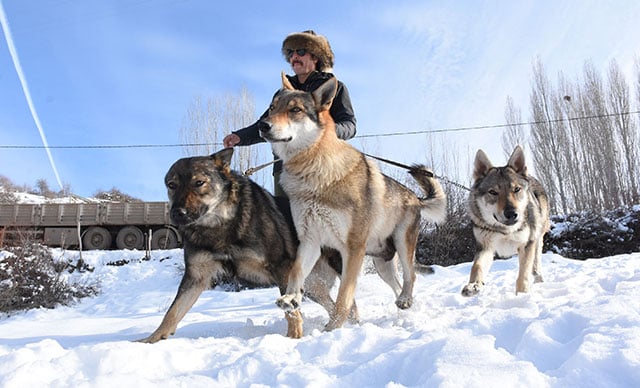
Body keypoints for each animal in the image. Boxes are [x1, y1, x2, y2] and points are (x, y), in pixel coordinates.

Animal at [139, 147, 344, 342]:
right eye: (171, 185)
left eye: (199, 183)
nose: (177, 213)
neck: (221, 224)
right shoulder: (196, 277)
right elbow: (173, 311)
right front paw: (152, 339)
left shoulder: (282, 268)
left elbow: (291, 312)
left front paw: (293, 337)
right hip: (311, 286)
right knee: (338, 307)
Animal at [258, 73, 448, 330]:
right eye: (271, 108)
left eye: (295, 110)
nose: (262, 125)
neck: (314, 173)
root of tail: (416, 198)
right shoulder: (310, 241)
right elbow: (297, 272)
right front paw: (291, 298)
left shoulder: (353, 249)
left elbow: (344, 297)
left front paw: (332, 329)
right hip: (381, 265)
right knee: (398, 284)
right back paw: (402, 307)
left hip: (402, 244)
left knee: (411, 276)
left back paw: (406, 301)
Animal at [460, 146, 552, 298]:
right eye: (493, 192)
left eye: (516, 189)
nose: (512, 214)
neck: (505, 231)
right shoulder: (485, 247)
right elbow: (476, 267)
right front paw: (473, 285)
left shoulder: (526, 245)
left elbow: (523, 275)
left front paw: (522, 295)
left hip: (537, 236)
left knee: (536, 259)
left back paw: (538, 278)